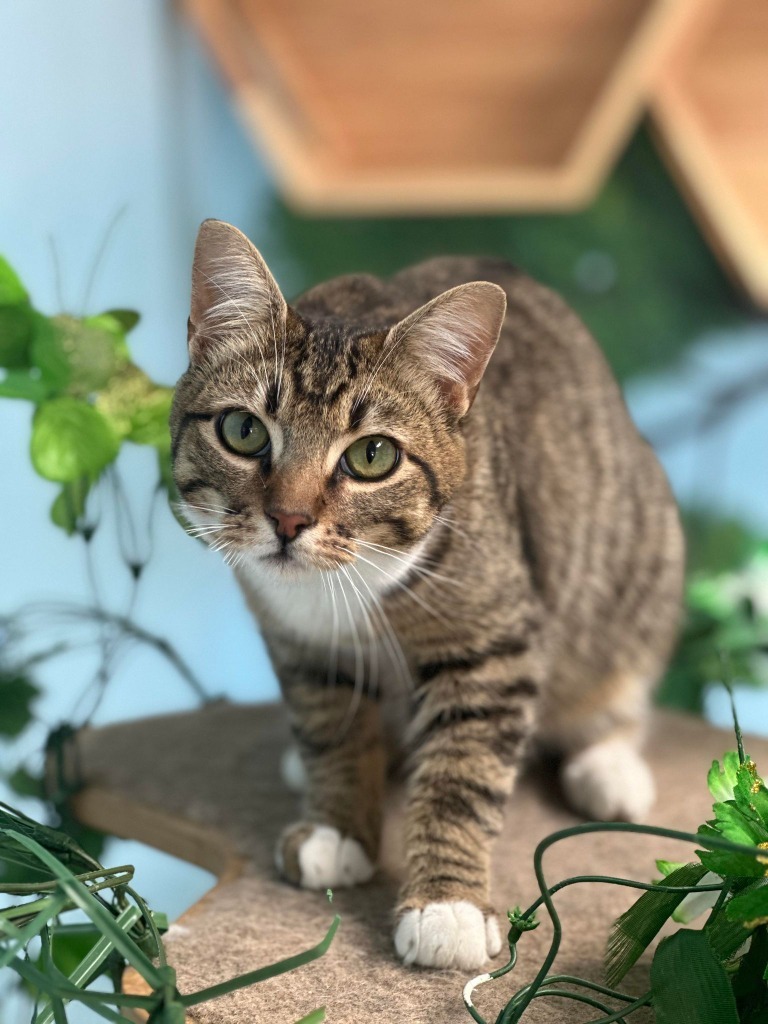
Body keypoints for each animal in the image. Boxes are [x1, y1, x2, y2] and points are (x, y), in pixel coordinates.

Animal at [171, 220, 684, 970]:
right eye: (243, 431)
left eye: (372, 456)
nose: (288, 520)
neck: (342, 587)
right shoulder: (297, 639)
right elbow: (330, 729)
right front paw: (336, 824)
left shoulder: (495, 643)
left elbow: (461, 777)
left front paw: (448, 905)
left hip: (640, 567)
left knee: (617, 689)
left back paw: (609, 765)